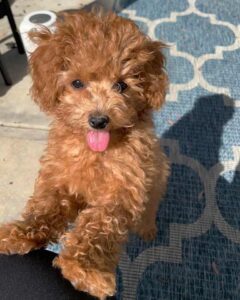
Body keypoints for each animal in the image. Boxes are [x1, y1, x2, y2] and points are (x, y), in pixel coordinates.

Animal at [0, 11, 169, 300]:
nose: (99, 120)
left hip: (158, 174)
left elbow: (99, 225)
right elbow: (44, 208)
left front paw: (84, 270)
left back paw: (147, 228)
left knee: (151, 205)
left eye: (121, 85)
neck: (95, 153)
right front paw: (17, 233)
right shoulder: (59, 179)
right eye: (77, 83)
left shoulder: (123, 188)